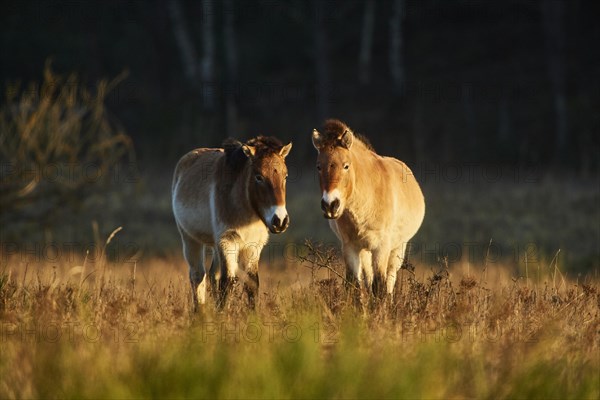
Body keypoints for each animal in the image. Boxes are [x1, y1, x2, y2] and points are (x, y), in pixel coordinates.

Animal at [171, 138, 292, 310]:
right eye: (259, 177)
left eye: (285, 176)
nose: (280, 221)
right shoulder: (228, 242)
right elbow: (227, 283)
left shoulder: (253, 247)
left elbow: (252, 284)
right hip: (190, 239)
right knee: (197, 276)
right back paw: (200, 313)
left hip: (215, 245)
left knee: (212, 275)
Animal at [312, 120, 424, 298]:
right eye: (318, 167)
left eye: (346, 166)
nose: (330, 205)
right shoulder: (350, 247)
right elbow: (355, 286)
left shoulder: (381, 248)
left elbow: (380, 287)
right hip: (365, 252)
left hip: (397, 249)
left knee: (389, 281)